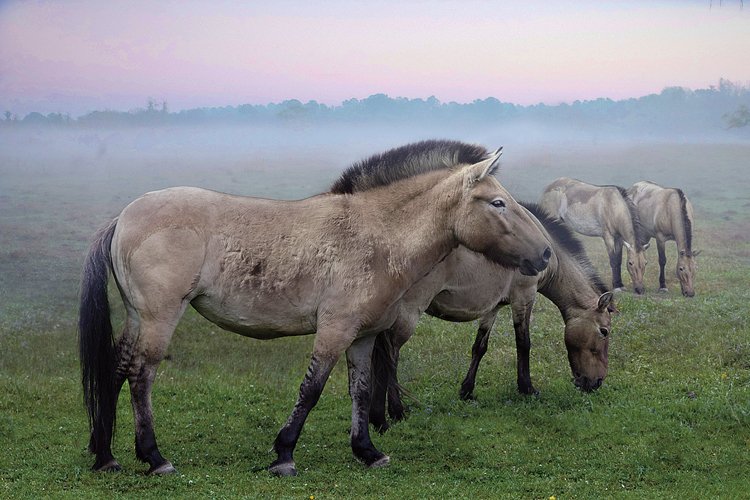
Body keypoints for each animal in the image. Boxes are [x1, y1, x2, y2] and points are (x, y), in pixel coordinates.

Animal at [79, 141, 552, 476]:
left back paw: (106, 455)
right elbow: (312, 389)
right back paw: (155, 457)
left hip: (137, 317)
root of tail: (124, 217)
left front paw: (368, 451)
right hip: (159, 318)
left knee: (117, 370)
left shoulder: (363, 336)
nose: (546, 253)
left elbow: (360, 390)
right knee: (141, 376)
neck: (377, 236)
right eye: (497, 203)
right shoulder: (335, 330)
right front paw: (284, 454)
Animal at [368, 201, 616, 432]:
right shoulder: (524, 297)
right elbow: (523, 343)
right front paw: (527, 388)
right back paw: (396, 411)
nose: (596, 382)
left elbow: (480, 347)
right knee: (391, 356)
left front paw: (467, 390)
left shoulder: (493, 307)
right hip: (409, 312)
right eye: (604, 331)